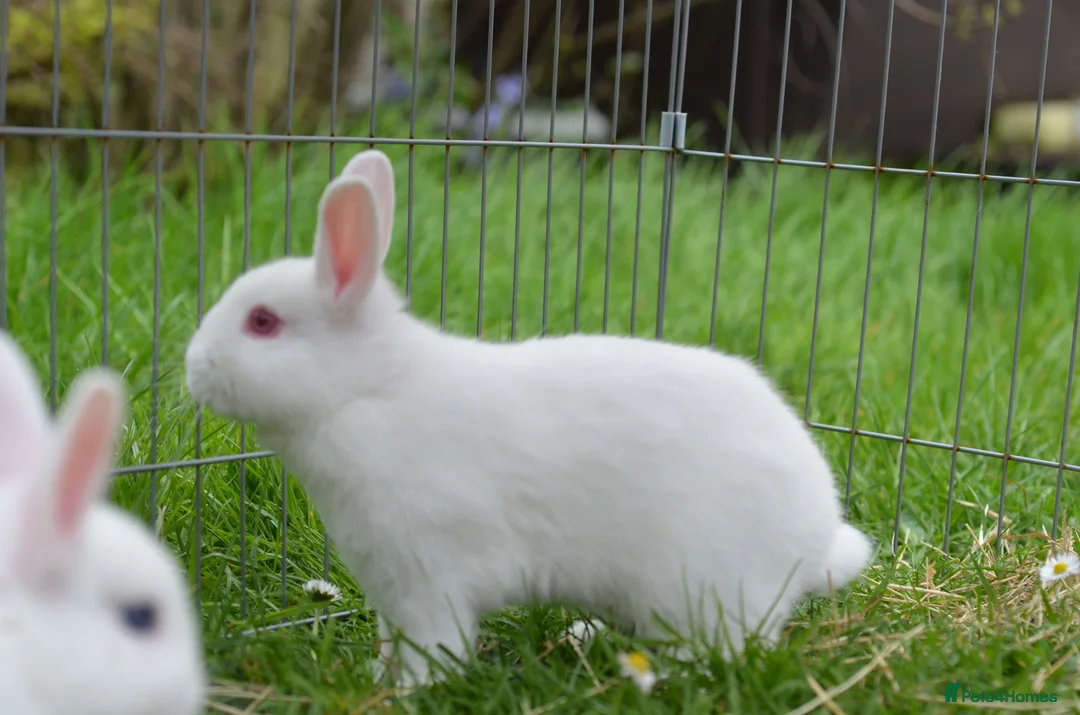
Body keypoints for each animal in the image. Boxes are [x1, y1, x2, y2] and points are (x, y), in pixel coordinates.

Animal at [184, 148, 874, 687]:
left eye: (263, 322)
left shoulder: (429, 578)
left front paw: (409, 693)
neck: (369, 392)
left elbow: (435, 648)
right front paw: (377, 680)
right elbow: (389, 641)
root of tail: (815, 538)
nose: (194, 366)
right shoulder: (391, 590)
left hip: (701, 587)